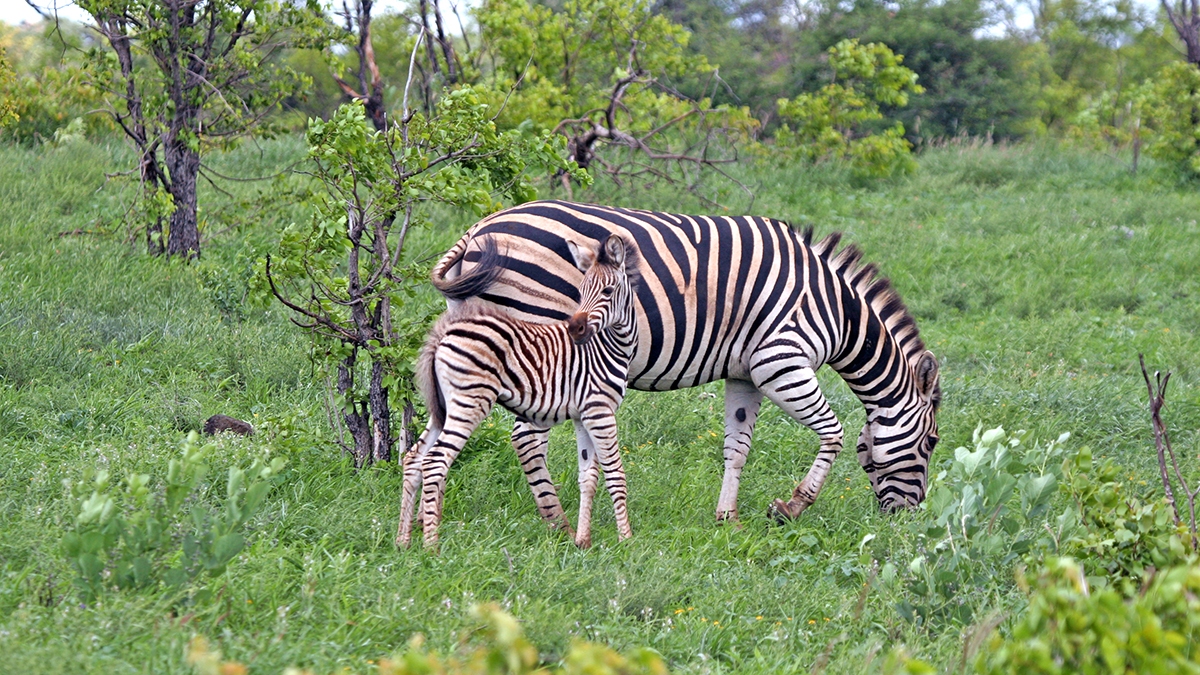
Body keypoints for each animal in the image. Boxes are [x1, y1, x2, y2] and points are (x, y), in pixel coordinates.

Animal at [397, 234, 640, 549]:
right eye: (581, 290)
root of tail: (442, 333)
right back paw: (432, 547)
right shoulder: (600, 410)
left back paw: (403, 541)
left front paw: (582, 542)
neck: (609, 346)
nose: (575, 329)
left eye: (608, 291)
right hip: (470, 401)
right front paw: (627, 540)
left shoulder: (583, 414)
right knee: (435, 461)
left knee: (414, 458)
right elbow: (615, 473)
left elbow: (588, 476)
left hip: (443, 406)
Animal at [428, 200, 941, 526]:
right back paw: (556, 523)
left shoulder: (744, 374)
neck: (836, 310)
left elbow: (738, 447)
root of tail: (476, 231)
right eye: (932, 443)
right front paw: (790, 508)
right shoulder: (780, 361)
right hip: (539, 343)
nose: (909, 520)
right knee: (526, 438)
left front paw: (727, 518)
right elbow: (832, 433)